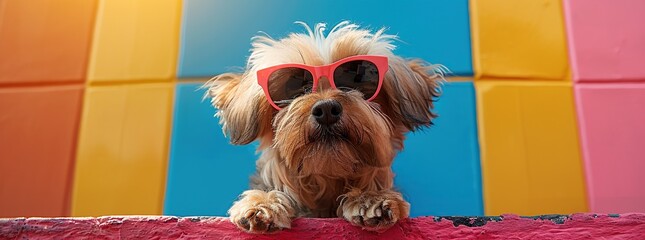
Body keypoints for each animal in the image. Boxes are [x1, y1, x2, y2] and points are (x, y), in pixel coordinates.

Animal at [204, 22, 446, 232]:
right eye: (294, 85)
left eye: (357, 78)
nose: (327, 109)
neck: (327, 180)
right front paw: (265, 202)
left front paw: (371, 197)